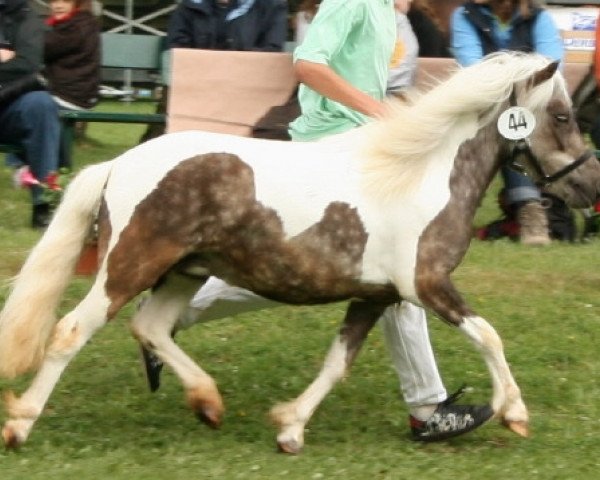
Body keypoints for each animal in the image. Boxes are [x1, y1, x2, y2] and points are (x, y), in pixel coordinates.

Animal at [1, 53, 600, 454]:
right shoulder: (426, 285)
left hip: (184, 272)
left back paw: (207, 401)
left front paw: (290, 428)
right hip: (130, 265)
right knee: (71, 331)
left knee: (152, 326)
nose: (589, 186)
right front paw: (514, 413)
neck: (420, 175)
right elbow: (489, 335)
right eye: (562, 117)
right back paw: (21, 424)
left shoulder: (377, 296)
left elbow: (338, 363)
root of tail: (120, 164)